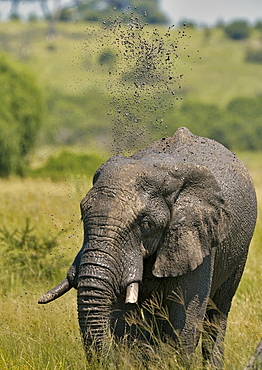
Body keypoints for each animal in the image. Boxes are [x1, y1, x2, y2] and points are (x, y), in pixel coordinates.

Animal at [38, 126, 256, 368]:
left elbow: (185, 319)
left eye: (145, 224)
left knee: (217, 313)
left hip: (239, 254)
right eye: (82, 216)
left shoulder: (197, 238)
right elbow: (125, 320)